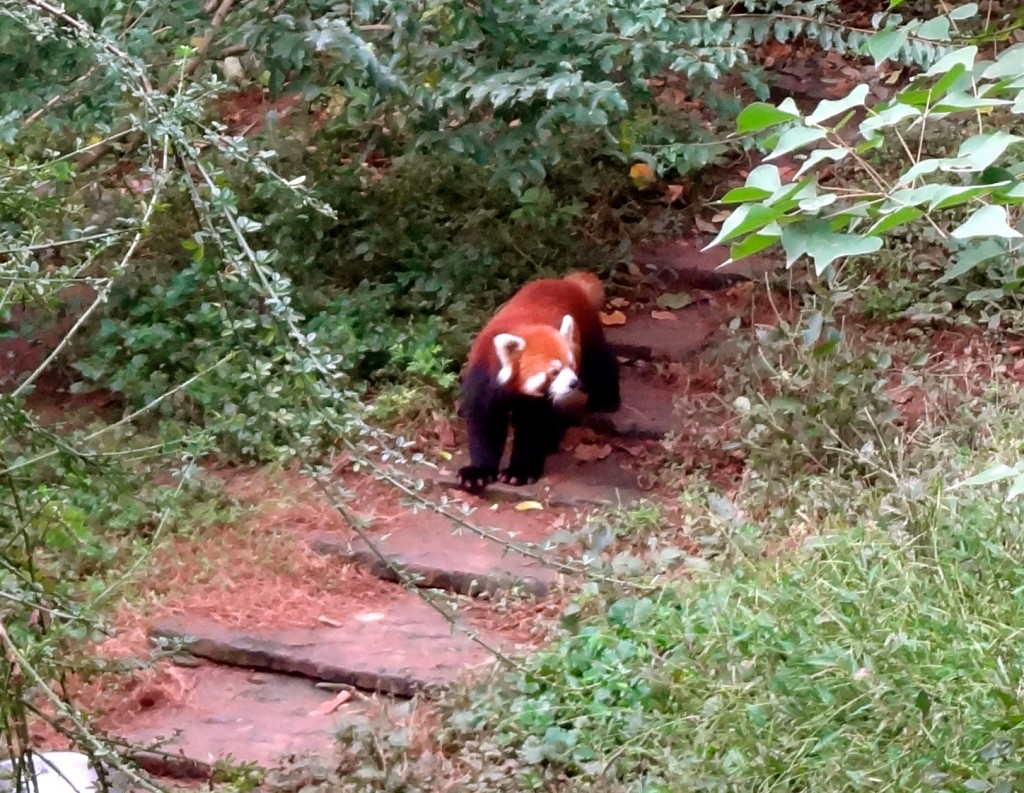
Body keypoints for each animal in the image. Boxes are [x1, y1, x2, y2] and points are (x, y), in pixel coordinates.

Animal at [458, 276, 618, 493]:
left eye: (571, 365)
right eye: (554, 372)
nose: (573, 382)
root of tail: (564, 281)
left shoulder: (537, 400)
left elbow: (532, 427)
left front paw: (520, 472)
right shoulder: (483, 382)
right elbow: (485, 424)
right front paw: (478, 472)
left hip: (587, 328)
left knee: (599, 362)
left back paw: (606, 399)